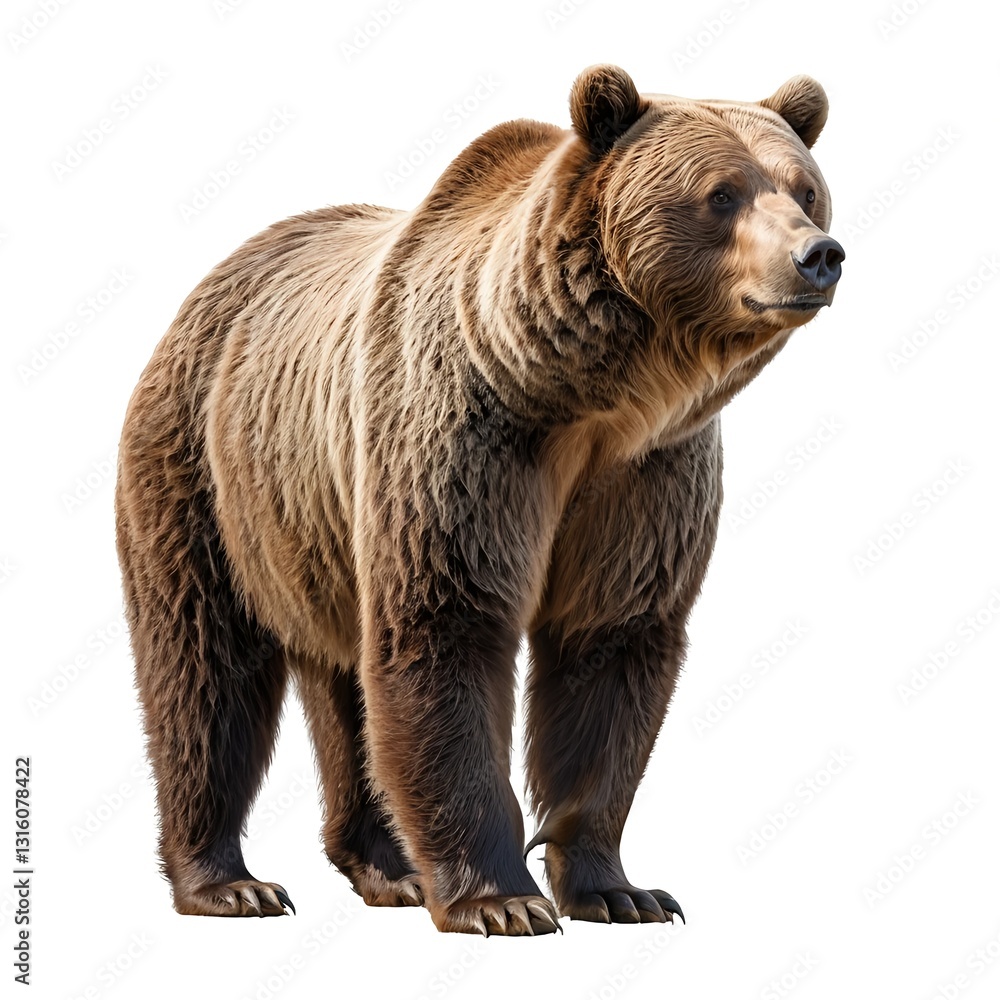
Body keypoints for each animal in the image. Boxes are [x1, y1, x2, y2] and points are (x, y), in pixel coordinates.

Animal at [115, 64, 843, 936]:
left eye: (805, 188)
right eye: (722, 193)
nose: (817, 255)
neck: (588, 397)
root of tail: (211, 281)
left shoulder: (646, 475)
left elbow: (611, 648)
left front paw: (621, 890)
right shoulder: (467, 437)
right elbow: (447, 627)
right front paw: (502, 900)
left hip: (312, 526)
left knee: (345, 678)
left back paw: (388, 870)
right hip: (202, 470)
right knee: (203, 666)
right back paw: (230, 883)